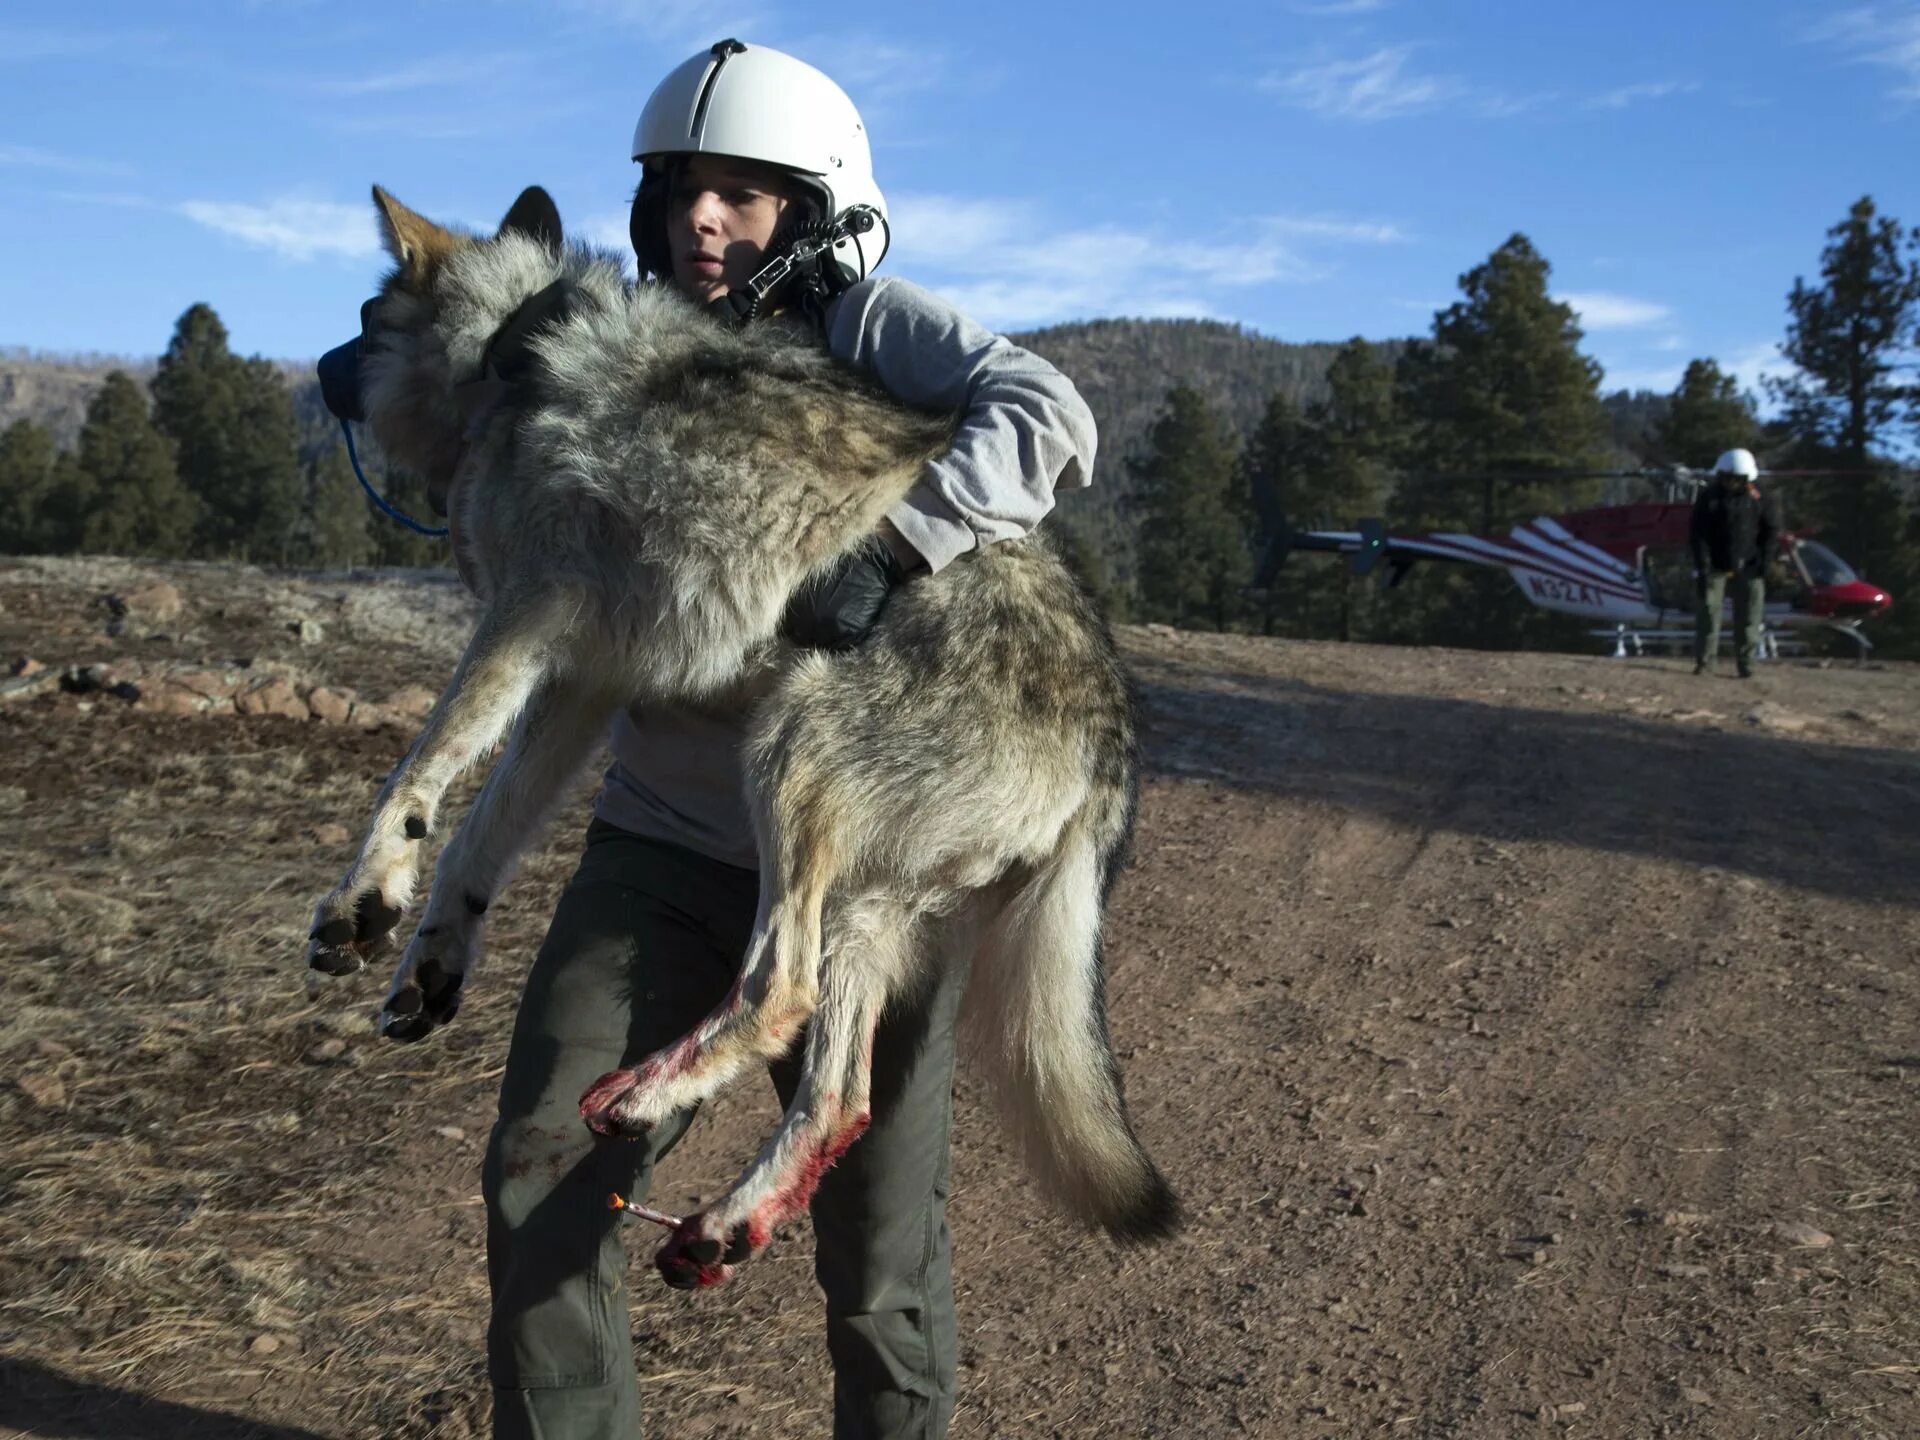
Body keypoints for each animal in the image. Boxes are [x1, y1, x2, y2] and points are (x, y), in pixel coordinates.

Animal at [307, 186, 1175, 1290]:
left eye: (362, 318)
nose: (317, 368)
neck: (514, 347)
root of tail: (1115, 741)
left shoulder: (525, 615)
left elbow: (417, 775)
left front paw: (359, 903)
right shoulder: (586, 678)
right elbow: (477, 837)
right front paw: (428, 961)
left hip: (786, 752)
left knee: (779, 991)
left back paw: (645, 1095)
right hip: (863, 905)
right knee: (838, 1097)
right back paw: (729, 1220)